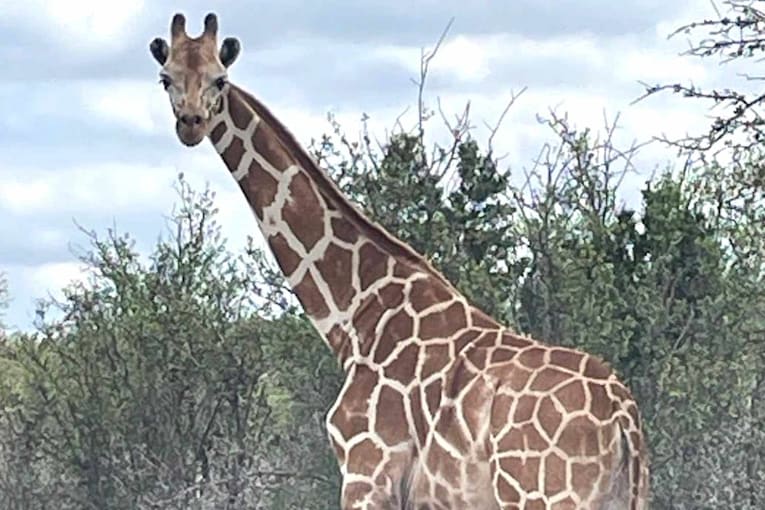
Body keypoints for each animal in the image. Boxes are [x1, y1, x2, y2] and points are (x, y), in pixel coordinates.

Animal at [149, 13, 650, 509]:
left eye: (220, 79)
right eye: (166, 77)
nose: (191, 123)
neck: (355, 314)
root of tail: (624, 415)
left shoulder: (365, 471)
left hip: (544, 494)